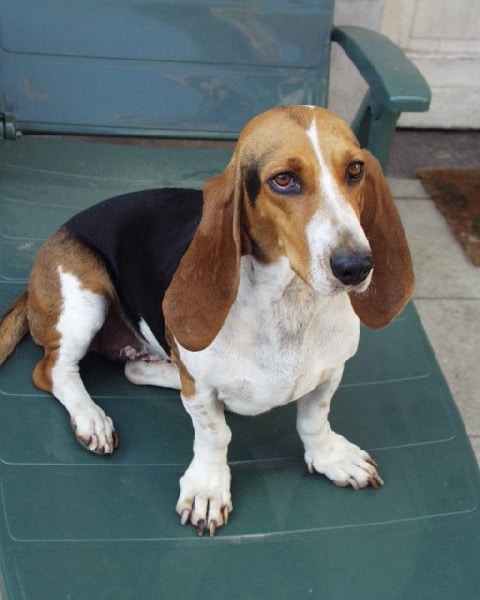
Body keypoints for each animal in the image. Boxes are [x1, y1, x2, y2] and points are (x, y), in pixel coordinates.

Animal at [0, 105, 412, 536]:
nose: (356, 266)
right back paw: (90, 417)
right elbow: (215, 435)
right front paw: (208, 488)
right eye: (283, 180)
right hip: (84, 298)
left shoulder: (331, 370)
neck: (289, 302)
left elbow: (314, 419)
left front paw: (330, 456)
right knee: (54, 370)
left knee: (136, 369)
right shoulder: (200, 392)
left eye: (354, 170)